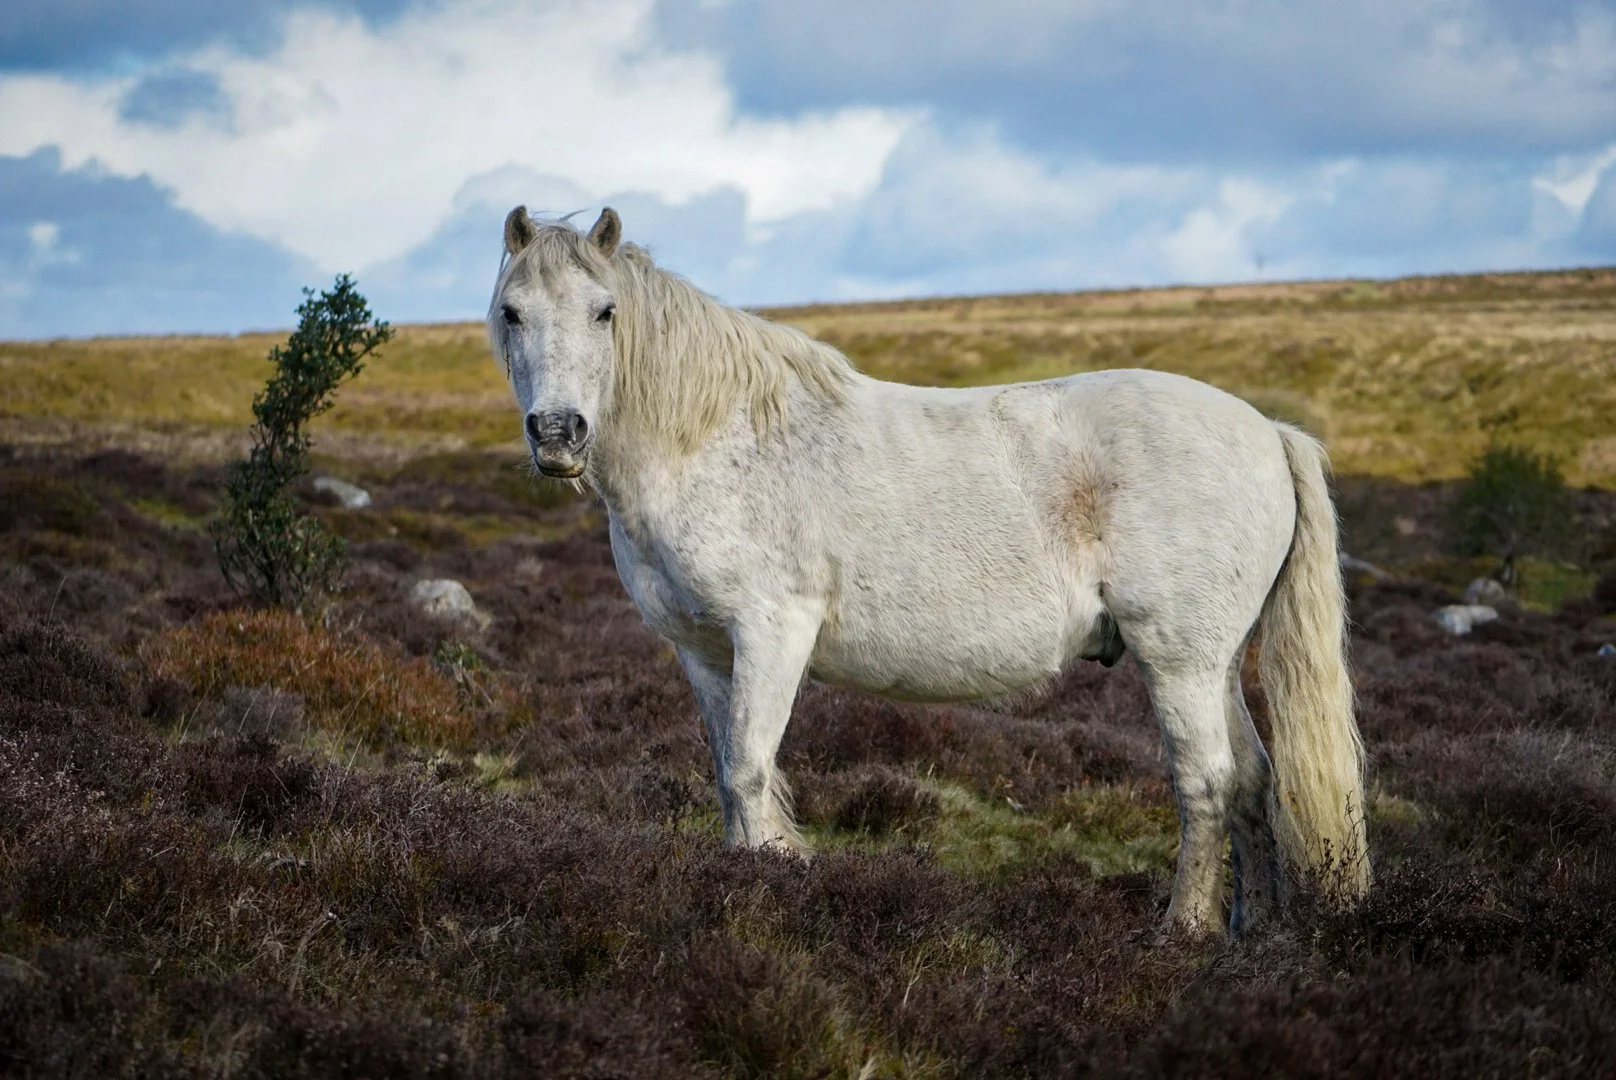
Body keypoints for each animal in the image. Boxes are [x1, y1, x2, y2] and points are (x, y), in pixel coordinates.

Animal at [487, 205, 1369, 938]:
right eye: (511, 312)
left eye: (605, 311)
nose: (558, 433)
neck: (712, 440)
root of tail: (1267, 431)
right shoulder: (704, 653)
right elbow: (730, 776)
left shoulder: (773, 633)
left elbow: (749, 770)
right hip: (1215, 663)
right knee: (1254, 782)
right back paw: (1259, 935)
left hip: (1179, 662)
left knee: (1206, 783)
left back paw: (1181, 934)